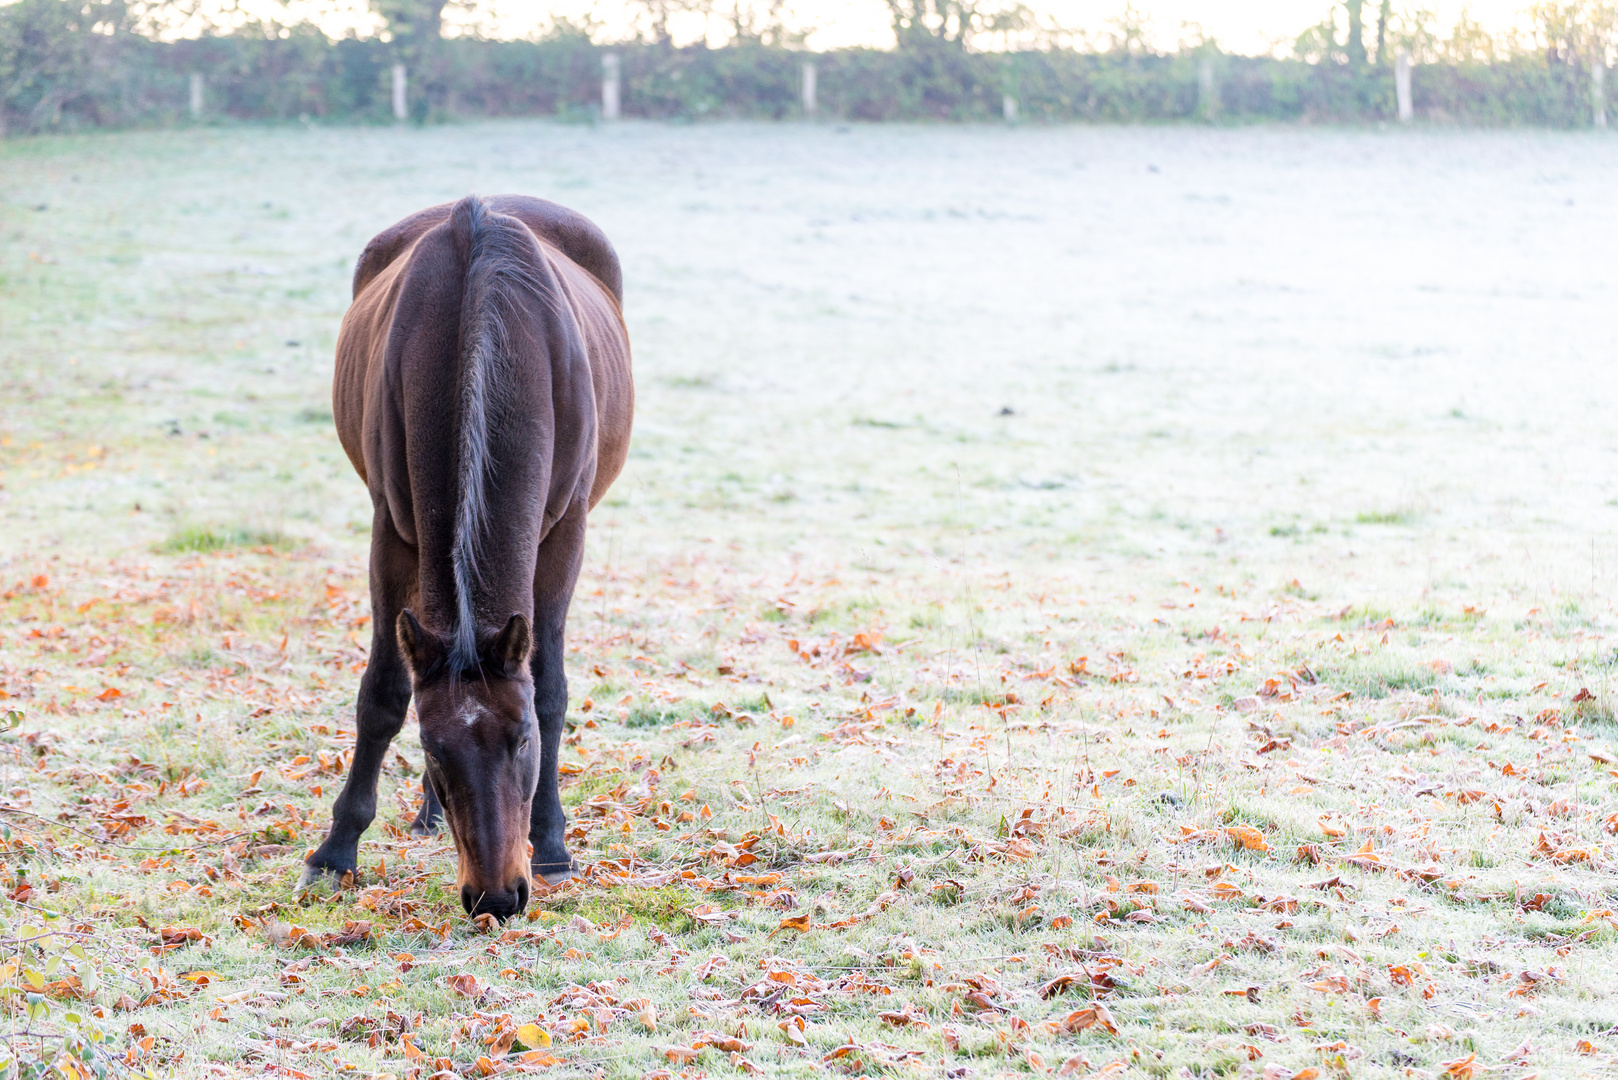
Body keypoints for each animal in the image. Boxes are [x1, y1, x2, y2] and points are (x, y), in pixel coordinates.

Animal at [300, 196, 627, 919]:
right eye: (431, 745)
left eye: (523, 739)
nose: (496, 897)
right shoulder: (393, 532)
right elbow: (386, 693)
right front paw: (335, 852)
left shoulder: (566, 531)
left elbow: (551, 687)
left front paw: (553, 844)